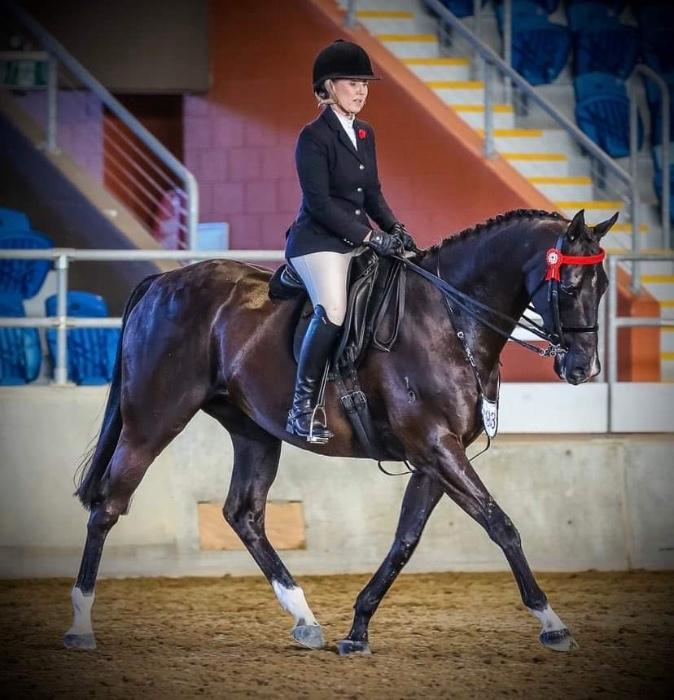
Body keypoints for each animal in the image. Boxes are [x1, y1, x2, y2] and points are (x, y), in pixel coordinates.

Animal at [63, 207, 617, 655]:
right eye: (569, 286)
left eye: (604, 287)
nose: (583, 369)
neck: (449, 319)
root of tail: (161, 283)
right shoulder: (436, 447)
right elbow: (501, 525)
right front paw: (552, 623)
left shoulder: (436, 456)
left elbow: (405, 540)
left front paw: (357, 630)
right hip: (153, 420)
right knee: (108, 506)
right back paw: (80, 626)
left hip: (253, 431)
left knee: (244, 513)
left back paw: (305, 620)